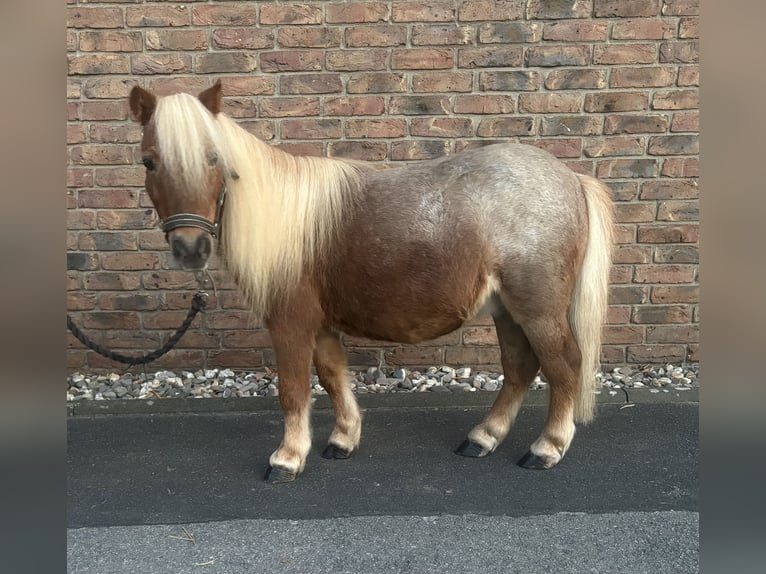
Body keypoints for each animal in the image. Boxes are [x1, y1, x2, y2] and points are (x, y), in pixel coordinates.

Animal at [128, 81, 614, 483]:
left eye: (215, 159)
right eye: (148, 162)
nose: (190, 248)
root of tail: (572, 180)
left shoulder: (290, 325)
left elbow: (293, 389)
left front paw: (288, 458)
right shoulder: (320, 324)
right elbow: (331, 376)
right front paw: (342, 440)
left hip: (538, 310)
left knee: (564, 366)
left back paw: (547, 448)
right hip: (507, 310)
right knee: (519, 368)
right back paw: (483, 438)